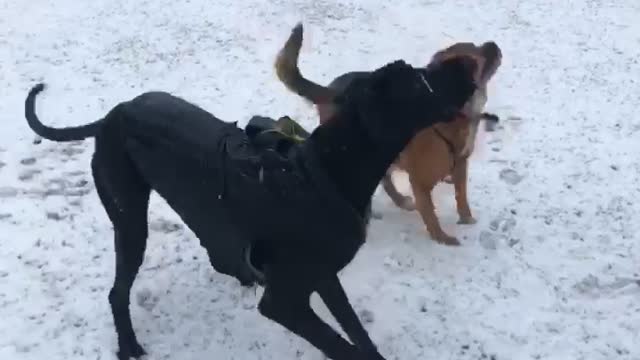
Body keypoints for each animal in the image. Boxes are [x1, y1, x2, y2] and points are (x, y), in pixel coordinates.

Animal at [23, 52, 476, 358]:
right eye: (417, 80)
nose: (467, 65)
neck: (324, 172)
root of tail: (112, 115)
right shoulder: (285, 303)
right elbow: (342, 346)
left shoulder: (323, 276)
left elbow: (357, 335)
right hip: (130, 218)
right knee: (118, 292)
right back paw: (130, 343)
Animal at [274, 26, 500, 245]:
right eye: (475, 55)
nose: (494, 44)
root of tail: (334, 92)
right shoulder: (420, 183)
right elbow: (430, 215)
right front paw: (442, 239)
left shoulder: (461, 165)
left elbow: (461, 197)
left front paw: (466, 219)